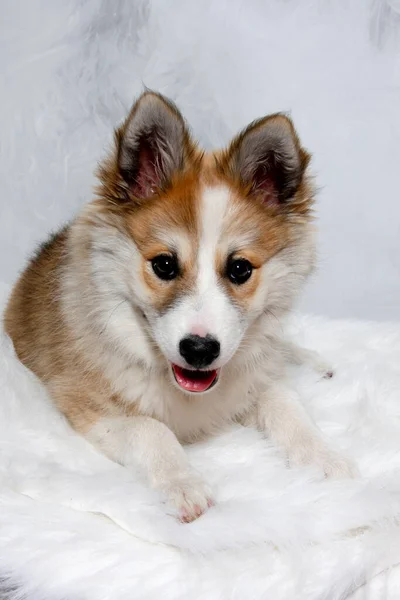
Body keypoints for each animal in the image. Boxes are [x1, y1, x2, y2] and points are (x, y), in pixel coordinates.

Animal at [4, 91, 354, 524]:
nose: (200, 351)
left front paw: (323, 457)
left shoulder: (256, 380)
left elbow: (289, 407)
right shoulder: (84, 404)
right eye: (164, 265)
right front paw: (182, 483)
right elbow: (151, 430)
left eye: (240, 269)